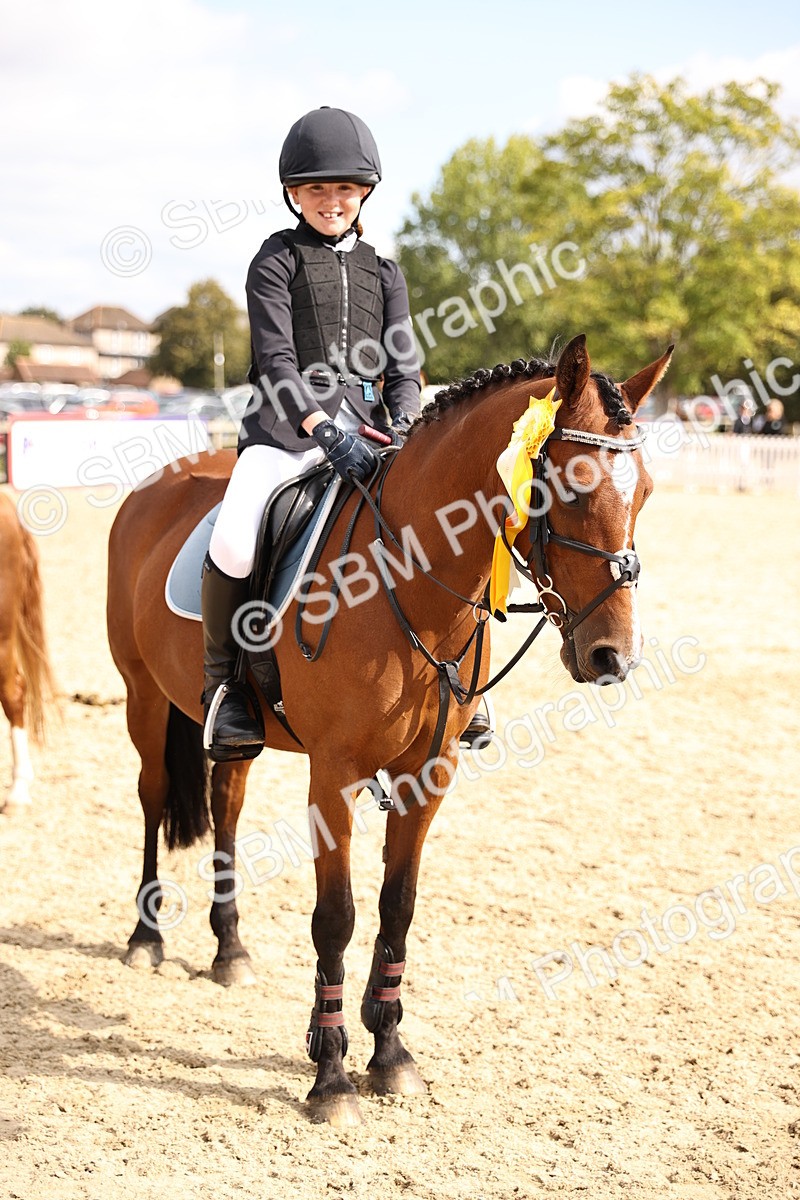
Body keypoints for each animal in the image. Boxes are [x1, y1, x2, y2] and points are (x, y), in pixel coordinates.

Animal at [106, 334, 672, 1127]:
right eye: (566, 488)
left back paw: (230, 951)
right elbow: (336, 916)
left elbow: (396, 906)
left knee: (227, 803)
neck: (411, 579)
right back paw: (146, 938)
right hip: (142, 697)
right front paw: (331, 1076)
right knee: (154, 799)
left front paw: (391, 1055)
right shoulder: (333, 773)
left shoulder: (428, 773)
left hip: (235, 734)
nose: (613, 657)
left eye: (643, 492)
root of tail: (158, 483)